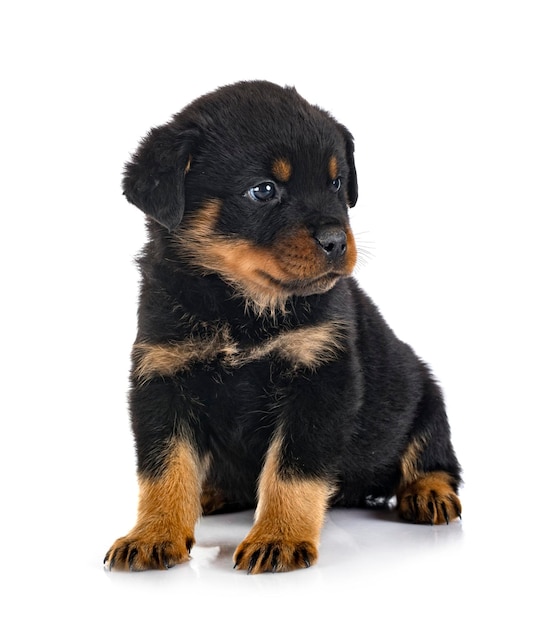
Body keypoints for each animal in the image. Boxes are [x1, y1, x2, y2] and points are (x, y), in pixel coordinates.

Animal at [105, 80, 464, 572]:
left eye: (336, 182)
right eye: (264, 190)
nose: (336, 241)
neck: (240, 308)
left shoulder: (320, 380)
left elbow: (292, 470)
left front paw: (279, 537)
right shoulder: (162, 378)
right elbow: (164, 468)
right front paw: (154, 533)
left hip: (424, 393)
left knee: (434, 455)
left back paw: (429, 493)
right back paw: (211, 491)